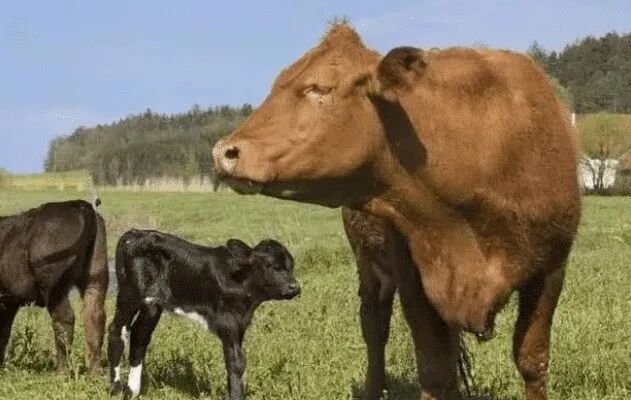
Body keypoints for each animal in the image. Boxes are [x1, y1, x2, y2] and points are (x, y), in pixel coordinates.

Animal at [0, 199, 108, 373]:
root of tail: (79, 204)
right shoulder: (9, 302)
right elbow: (4, 333)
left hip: (53, 285)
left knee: (64, 319)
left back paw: (61, 370)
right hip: (96, 278)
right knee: (95, 317)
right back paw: (95, 372)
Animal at [107, 229, 300, 399]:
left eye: (291, 266)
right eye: (270, 266)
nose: (294, 287)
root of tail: (135, 232)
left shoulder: (240, 323)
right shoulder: (227, 322)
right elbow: (236, 362)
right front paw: (237, 396)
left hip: (152, 304)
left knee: (140, 336)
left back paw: (133, 391)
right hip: (130, 294)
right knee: (117, 330)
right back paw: (116, 389)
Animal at [212, 23, 581, 400]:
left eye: (320, 87)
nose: (225, 152)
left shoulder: (551, 269)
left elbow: (531, 360)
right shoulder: (412, 276)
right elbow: (434, 368)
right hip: (368, 264)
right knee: (374, 327)